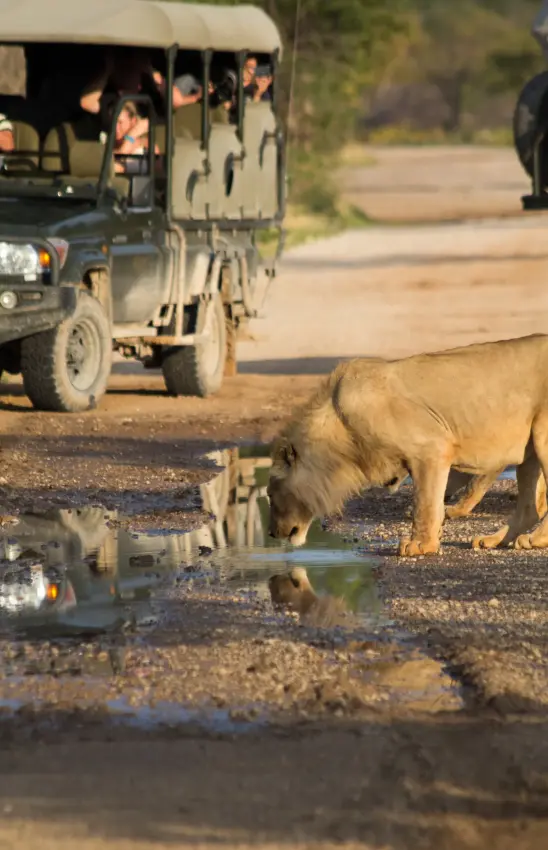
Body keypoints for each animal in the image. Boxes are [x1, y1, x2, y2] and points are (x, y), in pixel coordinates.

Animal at [267, 335, 548, 556]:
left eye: (270, 494)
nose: (270, 533)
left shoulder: (431, 449)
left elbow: (424, 503)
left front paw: (421, 546)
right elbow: (432, 500)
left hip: (542, 437)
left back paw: (535, 540)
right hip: (529, 451)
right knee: (529, 509)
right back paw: (495, 540)